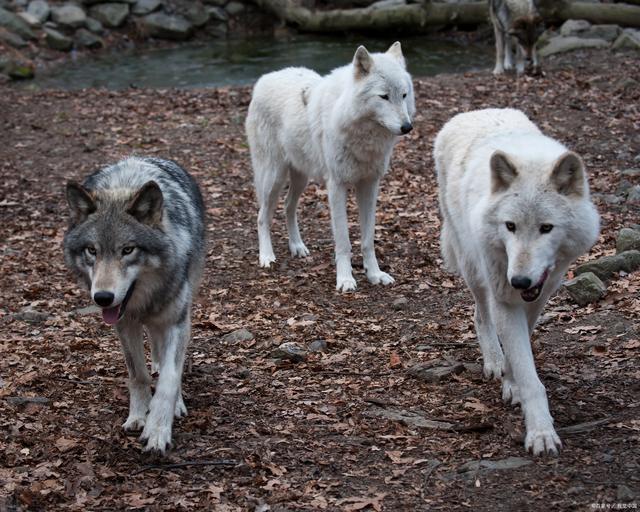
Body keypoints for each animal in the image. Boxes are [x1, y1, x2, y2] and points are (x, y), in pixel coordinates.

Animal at [62, 156, 205, 452]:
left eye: (128, 250)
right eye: (92, 250)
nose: (103, 297)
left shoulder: (176, 322)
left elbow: (170, 378)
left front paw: (158, 430)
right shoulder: (125, 325)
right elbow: (138, 375)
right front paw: (139, 416)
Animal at [245, 40, 416, 292]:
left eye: (404, 95)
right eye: (384, 97)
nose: (407, 127)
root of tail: (265, 78)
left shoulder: (370, 185)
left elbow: (368, 240)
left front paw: (375, 274)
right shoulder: (336, 186)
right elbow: (344, 242)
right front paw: (345, 279)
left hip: (300, 178)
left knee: (288, 207)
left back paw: (297, 247)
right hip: (273, 178)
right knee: (262, 216)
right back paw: (266, 256)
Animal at [432, 109, 604, 456]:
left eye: (546, 228)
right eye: (510, 226)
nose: (520, 280)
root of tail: (473, 112)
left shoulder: (540, 294)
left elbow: (521, 345)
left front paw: (512, 383)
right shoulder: (503, 295)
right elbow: (527, 373)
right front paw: (540, 432)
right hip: (472, 267)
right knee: (479, 314)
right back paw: (493, 361)